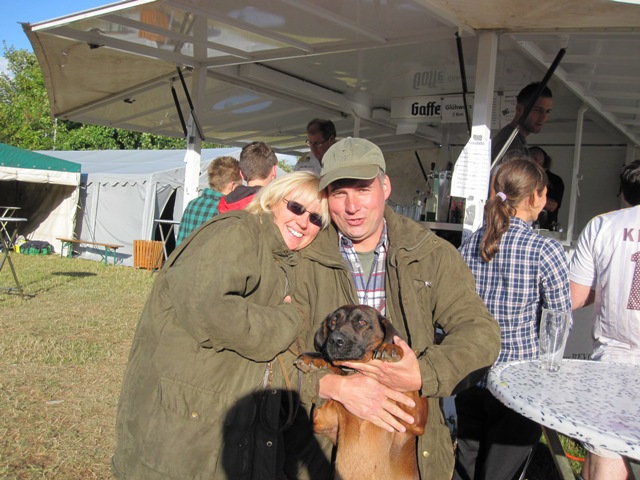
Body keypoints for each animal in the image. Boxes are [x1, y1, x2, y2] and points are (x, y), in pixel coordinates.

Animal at [295, 305, 428, 480]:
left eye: (362, 322)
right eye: (333, 322)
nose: (334, 340)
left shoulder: (416, 420)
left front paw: (391, 347)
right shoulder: (324, 422)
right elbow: (335, 368)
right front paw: (315, 358)